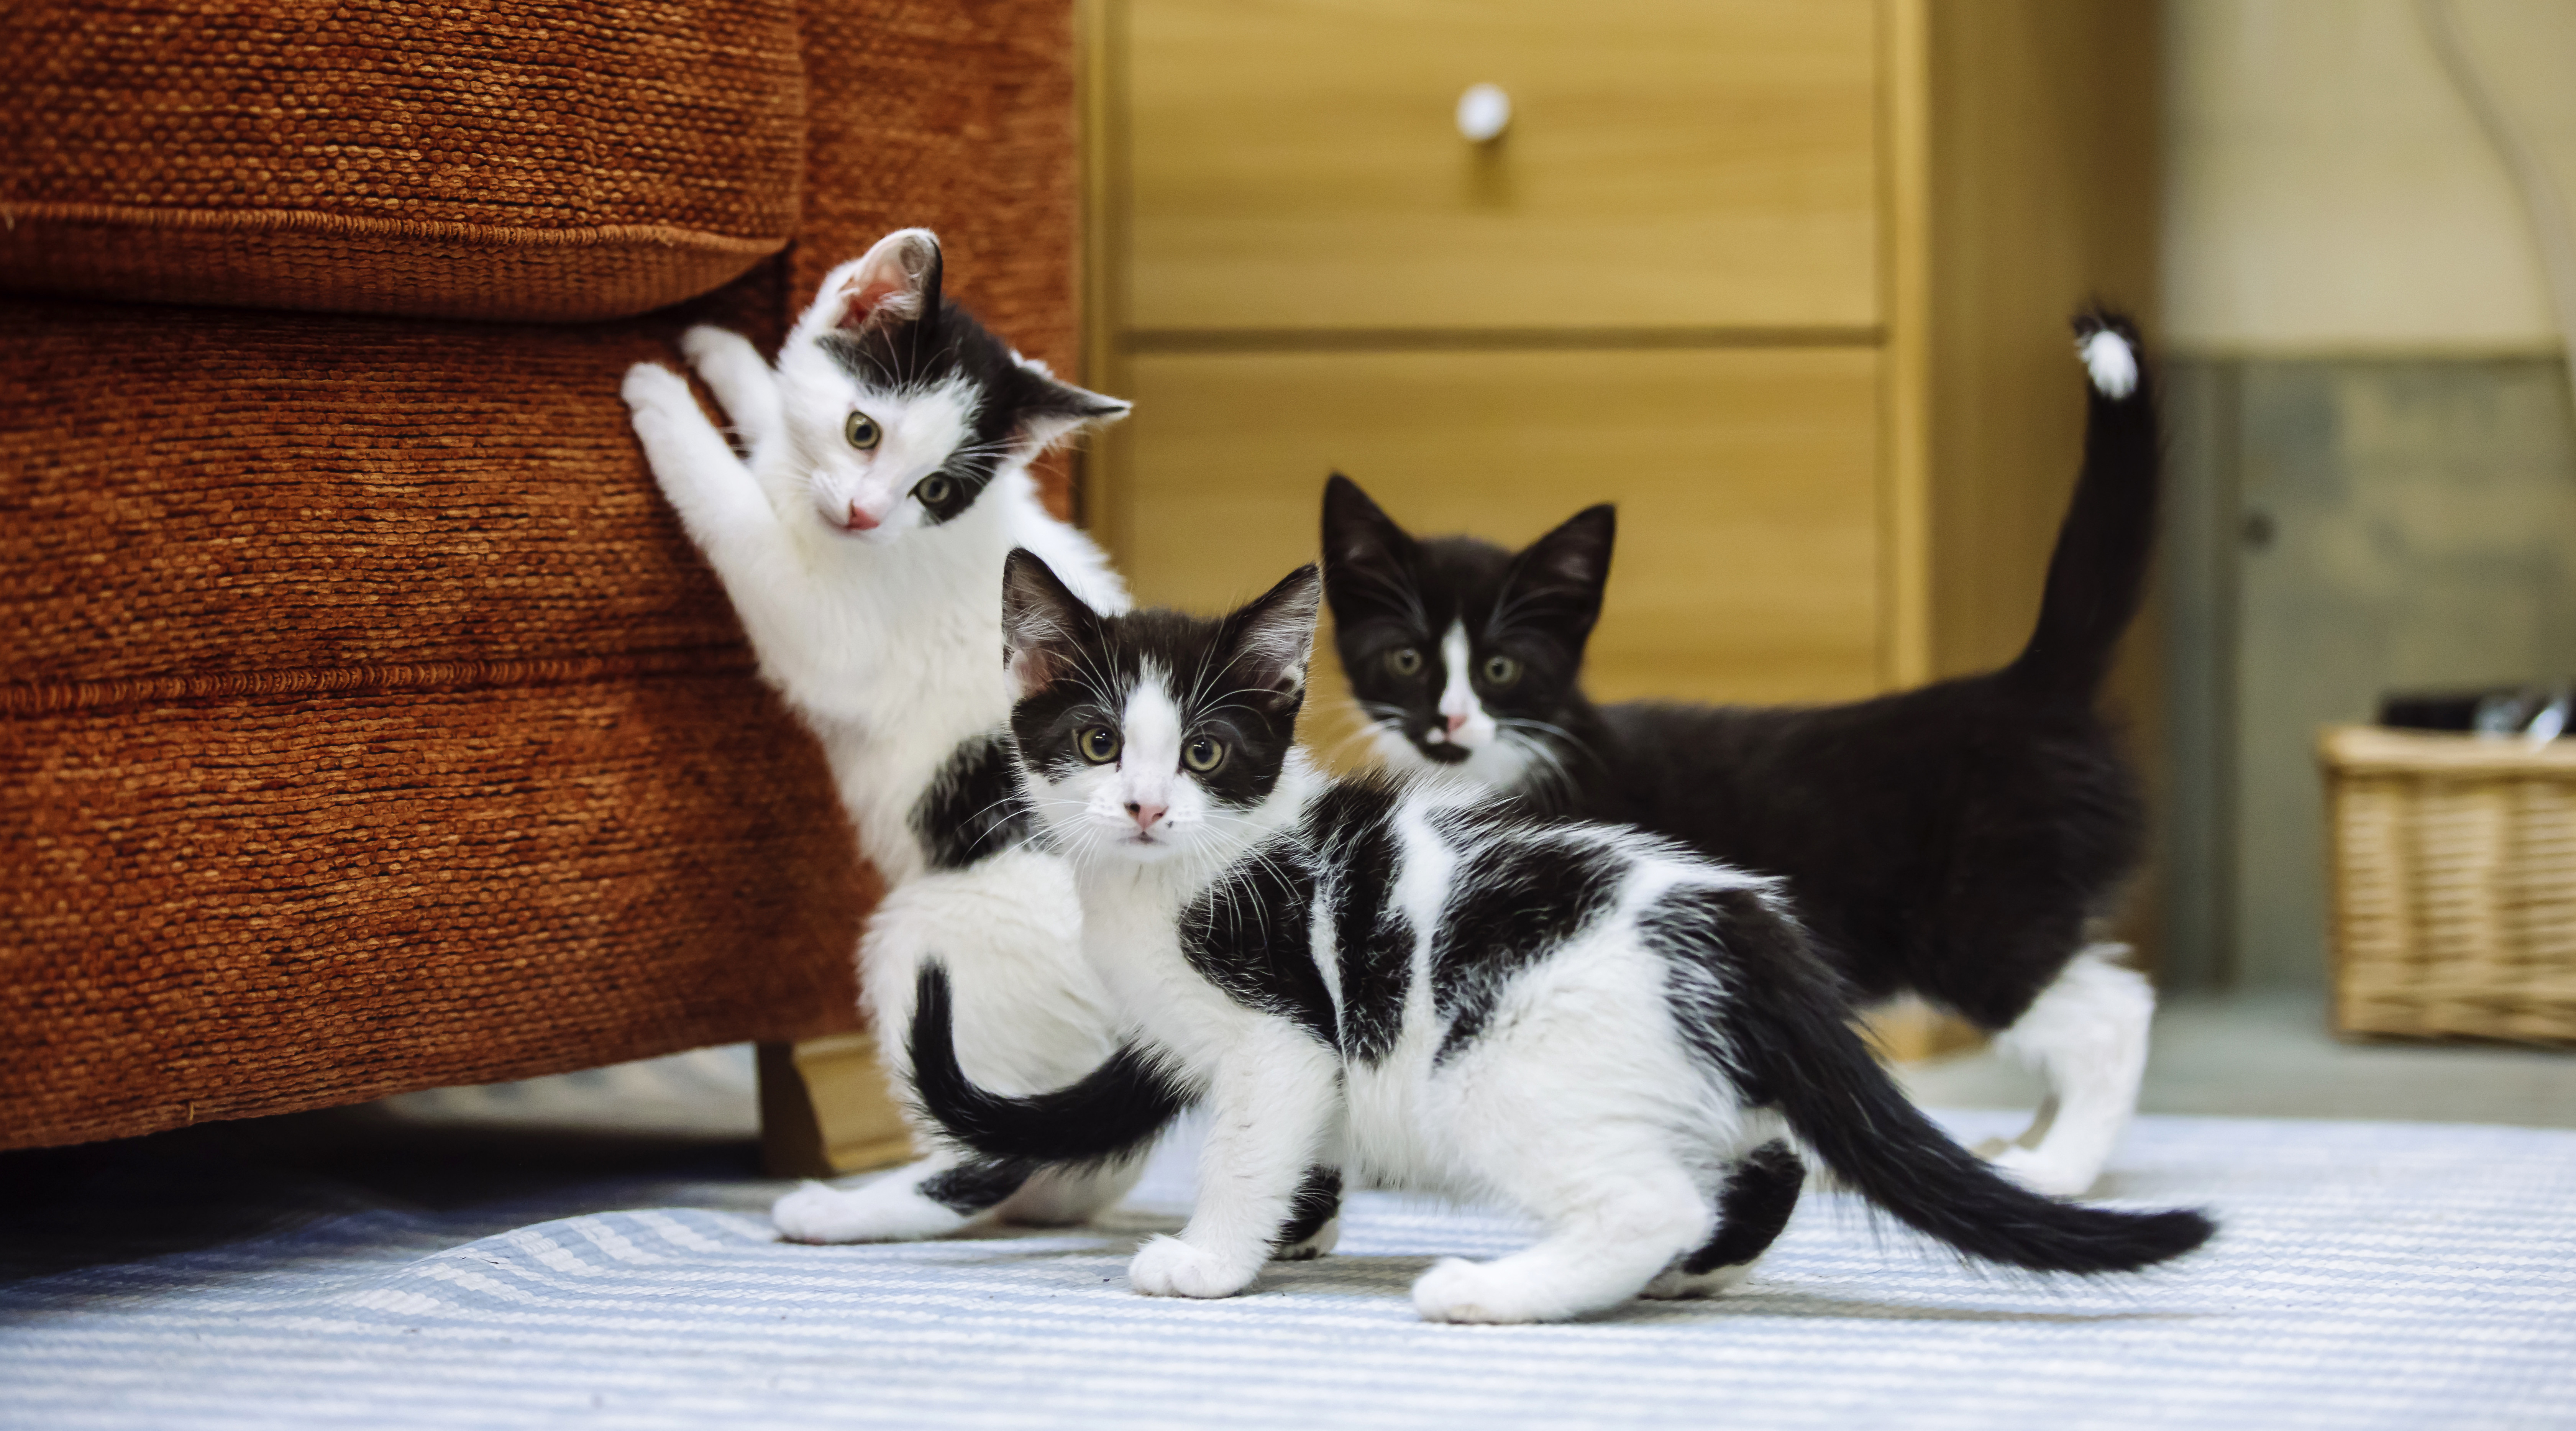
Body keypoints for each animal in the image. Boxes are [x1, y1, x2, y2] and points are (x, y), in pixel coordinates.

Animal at [613, 232, 1139, 1242]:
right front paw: (728, 357)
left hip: (937, 946)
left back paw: (836, 1211)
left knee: (987, 1146)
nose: (862, 512)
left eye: (933, 488)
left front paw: (665, 401)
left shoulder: (830, 627)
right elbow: (775, 429)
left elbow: (741, 523)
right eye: (863, 432)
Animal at [896, 554, 2205, 1330]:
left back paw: (1491, 1289)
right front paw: (1296, 1232)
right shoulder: (1297, 1061)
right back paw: (1688, 1267)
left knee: (1647, 1199)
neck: (1170, 877)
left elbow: (1247, 1145)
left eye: (1208, 751)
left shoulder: (1280, 1031)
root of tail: (1744, 928)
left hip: (1502, 1060)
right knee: (1753, 1163)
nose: (1142, 805)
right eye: (1098, 740)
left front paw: (1212, 1258)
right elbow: (1298, 1150)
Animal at [1329, 316, 2153, 1196]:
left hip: (1980, 915)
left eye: (1500, 670)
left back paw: (2055, 1165)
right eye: (1406, 661)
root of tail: (2027, 686)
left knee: (2113, 1012)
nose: (1447, 721)